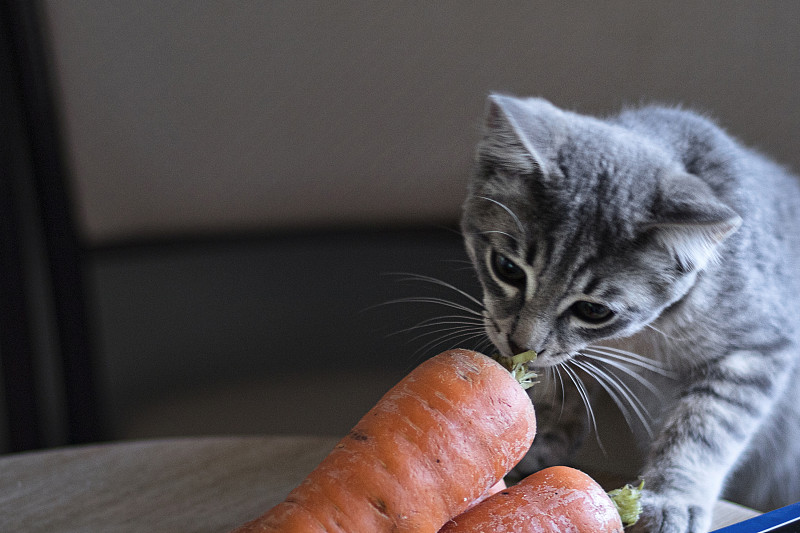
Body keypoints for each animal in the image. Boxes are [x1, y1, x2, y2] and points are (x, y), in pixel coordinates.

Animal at [460, 95, 800, 532]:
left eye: (593, 310)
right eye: (507, 268)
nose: (519, 344)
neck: (641, 335)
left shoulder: (756, 351)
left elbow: (703, 428)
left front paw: (672, 498)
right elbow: (557, 385)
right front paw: (540, 438)